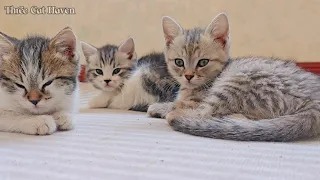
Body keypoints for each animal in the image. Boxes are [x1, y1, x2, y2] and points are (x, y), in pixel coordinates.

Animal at [149, 13, 320, 142]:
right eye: (179, 62)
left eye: (203, 62)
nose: (189, 76)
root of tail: (314, 104)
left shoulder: (195, 101)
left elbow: (180, 104)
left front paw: (160, 107)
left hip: (238, 82)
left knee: (210, 113)